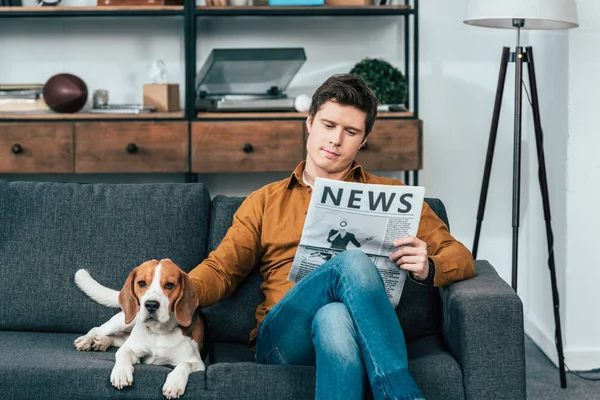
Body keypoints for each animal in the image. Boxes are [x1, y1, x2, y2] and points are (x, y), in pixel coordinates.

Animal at [73, 258, 209, 398]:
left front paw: (174, 383)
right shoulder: (131, 349)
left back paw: (102, 342)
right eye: (142, 283)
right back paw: (86, 340)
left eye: (169, 285)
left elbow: (184, 364)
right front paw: (121, 373)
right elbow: (122, 353)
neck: (159, 332)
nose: (151, 305)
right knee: (96, 329)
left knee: (114, 338)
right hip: (125, 321)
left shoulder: (198, 363)